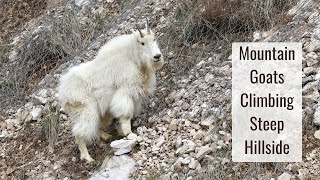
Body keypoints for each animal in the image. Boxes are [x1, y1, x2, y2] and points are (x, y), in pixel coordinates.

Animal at [57, 19, 165, 162]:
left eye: (154, 39)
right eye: (142, 43)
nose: (157, 56)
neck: (132, 58)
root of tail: (63, 93)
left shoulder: (135, 93)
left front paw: (120, 130)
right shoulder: (124, 90)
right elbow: (126, 113)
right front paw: (127, 132)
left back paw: (106, 136)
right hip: (85, 109)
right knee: (79, 132)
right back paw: (87, 157)